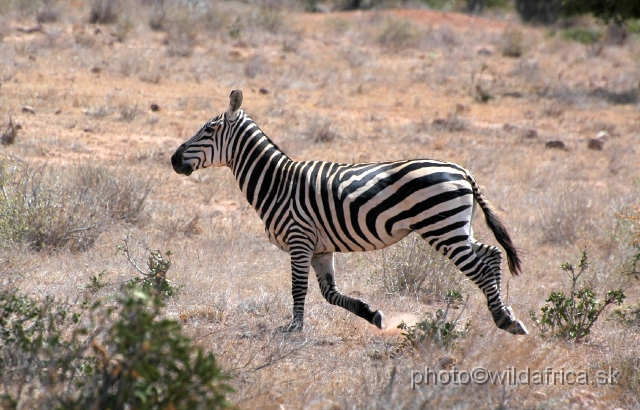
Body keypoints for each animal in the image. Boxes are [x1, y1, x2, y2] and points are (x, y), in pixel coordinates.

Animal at [170, 90, 524, 336]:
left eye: (208, 130)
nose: (173, 160)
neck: (277, 182)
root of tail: (461, 170)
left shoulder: (299, 239)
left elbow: (299, 287)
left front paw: (294, 329)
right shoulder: (319, 248)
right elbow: (330, 293)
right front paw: (372, 314)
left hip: (442, 227)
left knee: (481, 266)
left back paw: (504, 319)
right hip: (455, 226)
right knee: (492, 253)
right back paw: (504, 314)